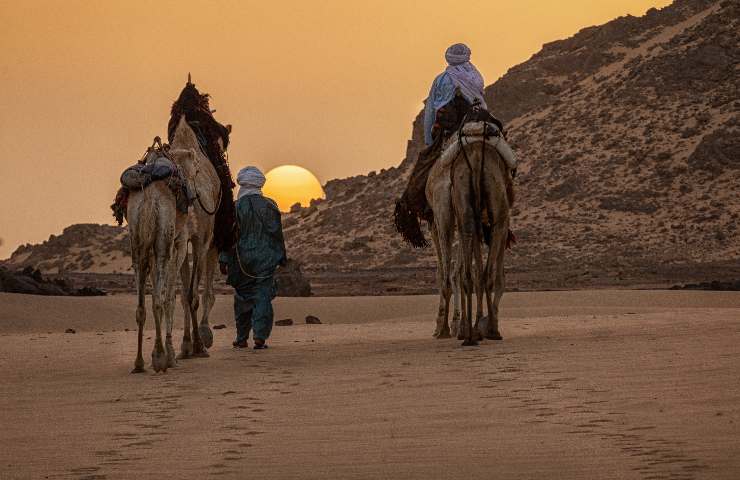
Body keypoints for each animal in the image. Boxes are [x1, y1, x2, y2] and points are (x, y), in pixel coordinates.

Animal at [424, 120, 512, 344]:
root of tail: (476, 154)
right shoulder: (495, 224)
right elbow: (489, 273)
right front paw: (482, 323)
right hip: (490, 214)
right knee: (481, 273)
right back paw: (485, 330)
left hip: (451, 215)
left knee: (454, 273)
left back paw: (455, 331)